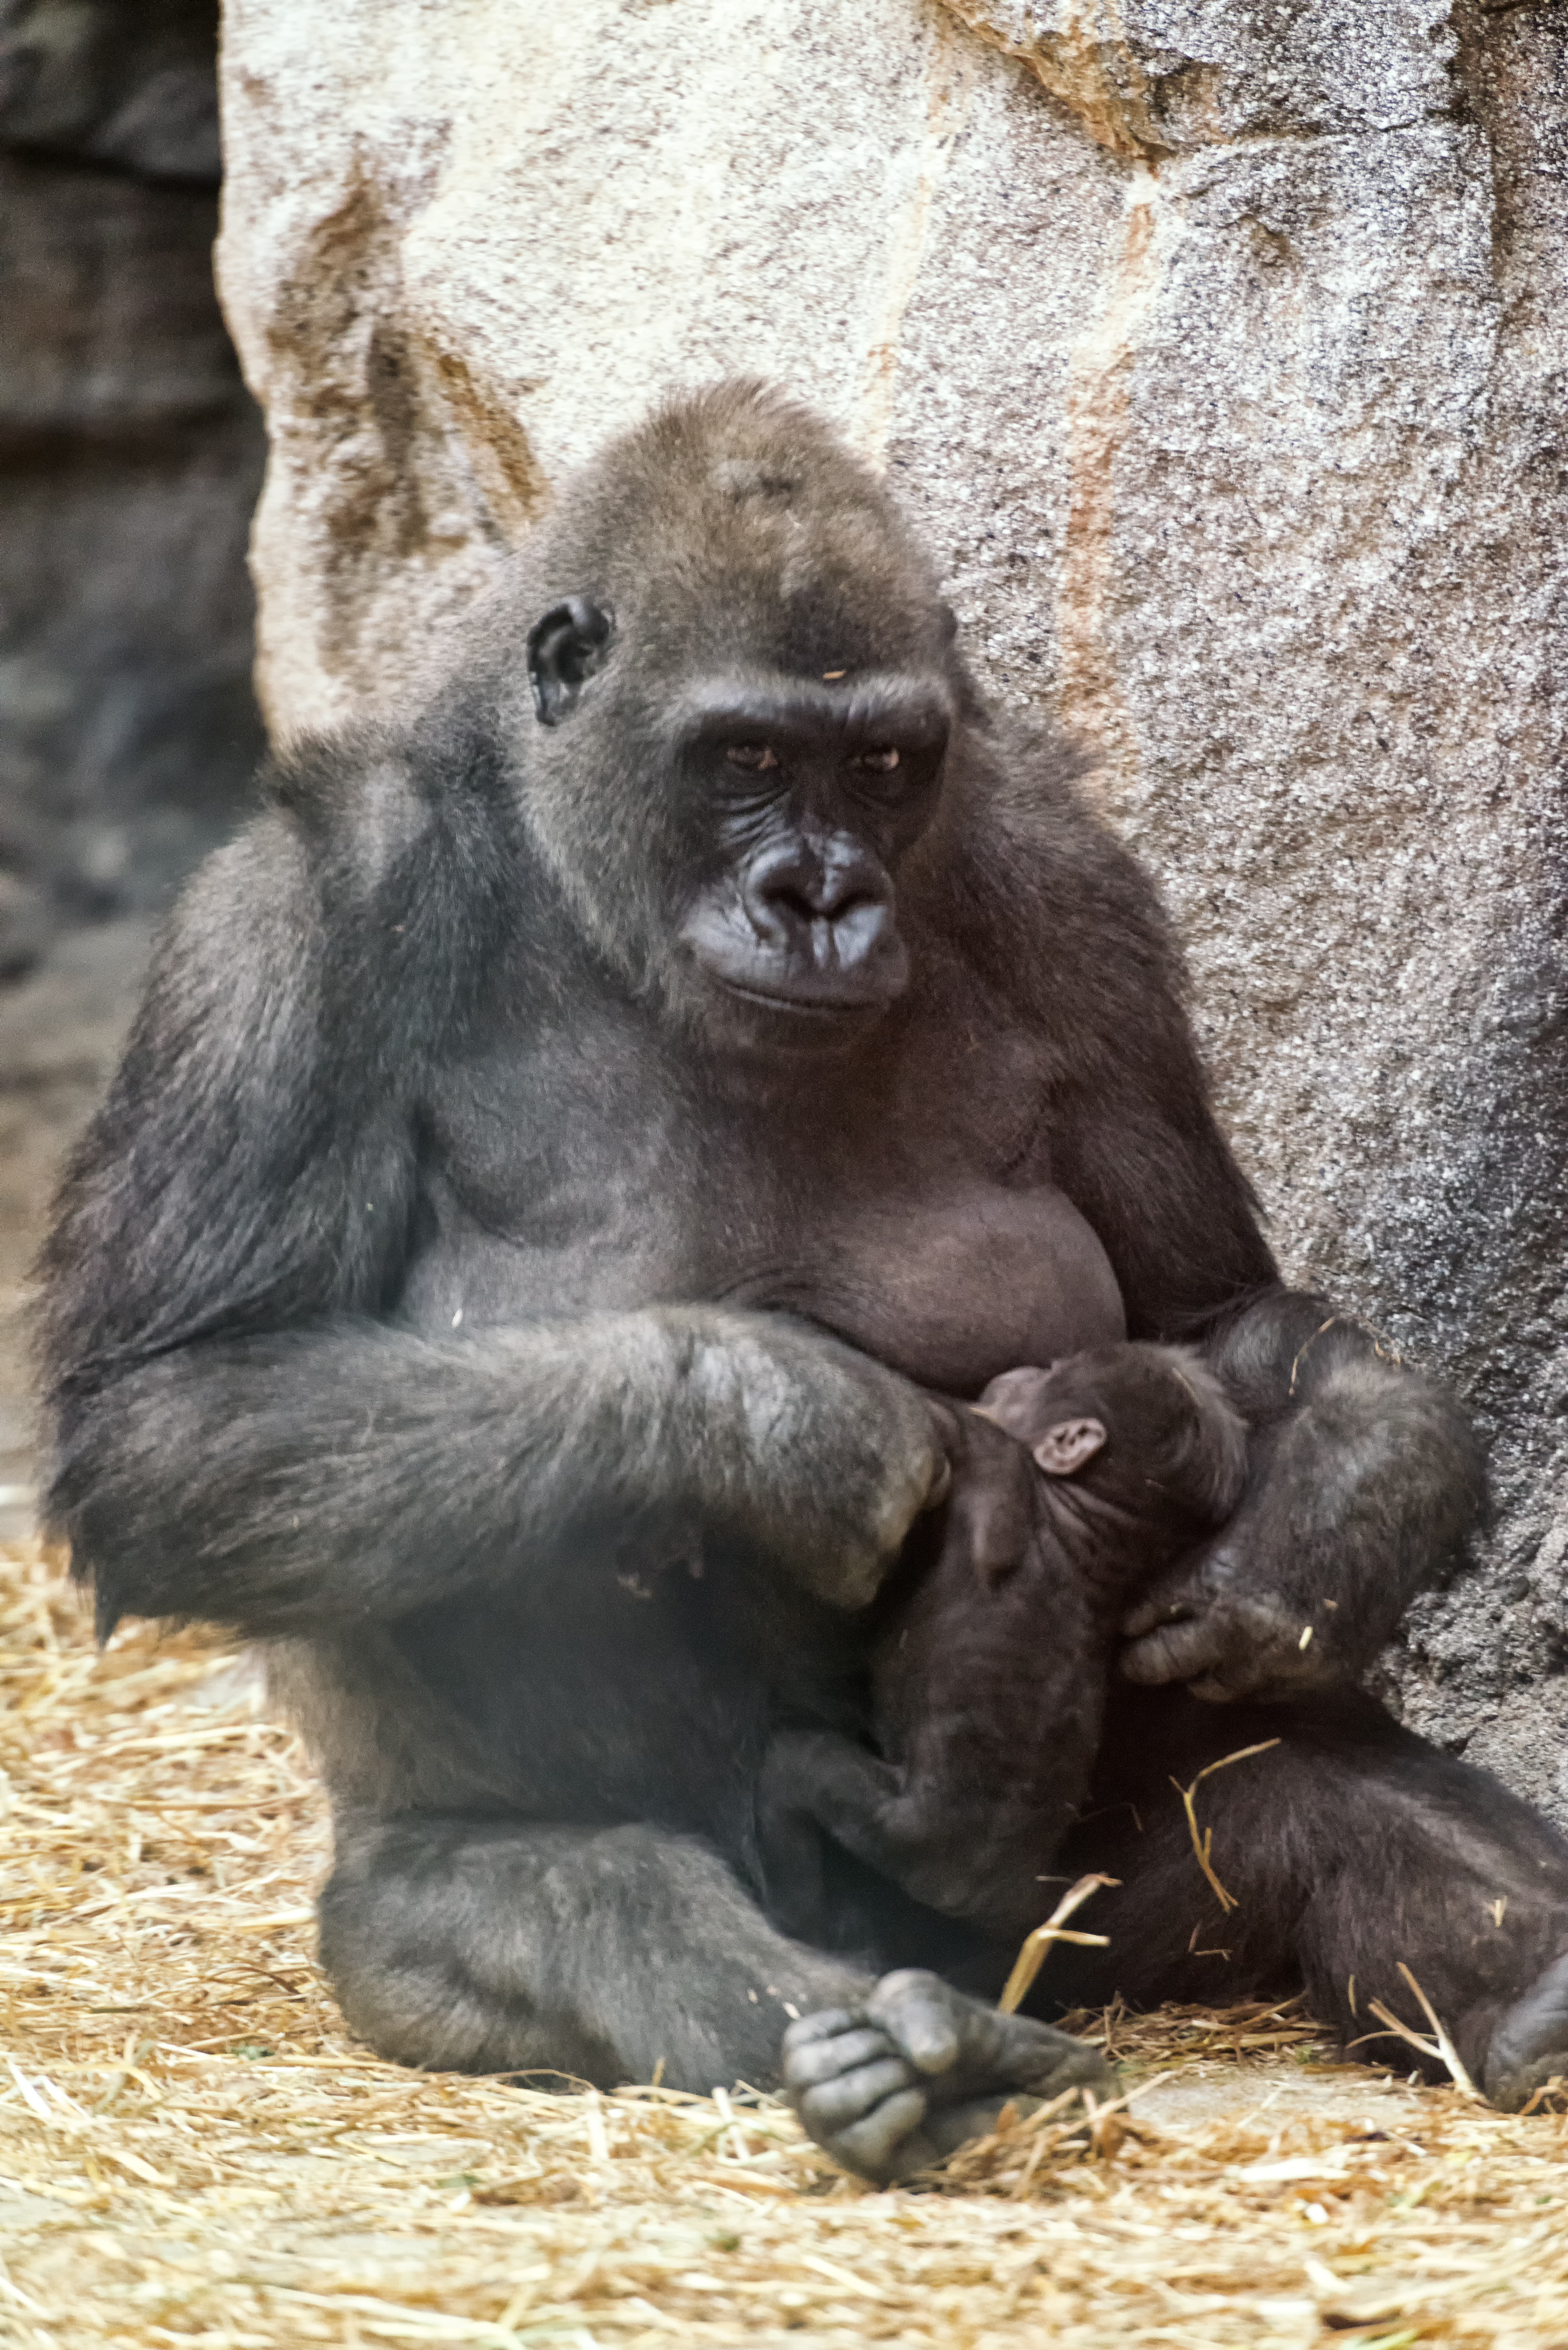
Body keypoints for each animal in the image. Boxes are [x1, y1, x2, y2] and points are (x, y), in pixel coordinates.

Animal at [752, 1344, 1241, 1946]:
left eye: (1055, 1374)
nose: (1030, 1369)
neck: (1085, 1518)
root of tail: (969, 1891)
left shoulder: (992, 1458)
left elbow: (941, 1426)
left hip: (897, 1829)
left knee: (793, 1771)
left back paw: (796, 1912)